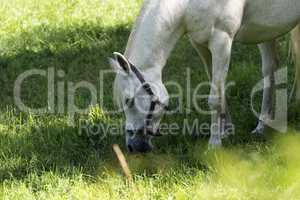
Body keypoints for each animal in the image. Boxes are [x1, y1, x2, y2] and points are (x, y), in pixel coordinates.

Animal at [109, 0, 300, 153]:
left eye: (129, 101)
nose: (133, 146)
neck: (186, 4)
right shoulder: (200, 44)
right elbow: (219, 88)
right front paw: (226, 130)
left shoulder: (222, 41)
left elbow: (214, 98)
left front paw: (214, 144)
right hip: (266, 31)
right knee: (269, 70)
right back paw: (262, 126)